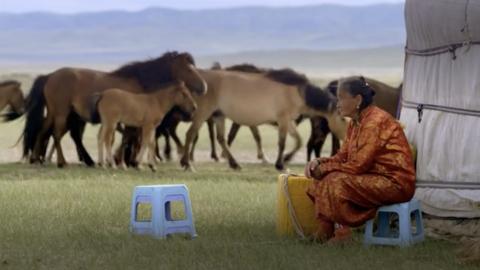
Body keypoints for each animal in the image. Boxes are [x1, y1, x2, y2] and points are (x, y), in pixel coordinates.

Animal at [181, 67, 342, 171]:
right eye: (343, 118)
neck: (299, 91)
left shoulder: (288, 121)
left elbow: (298, 140)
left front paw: (287, 158)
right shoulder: (283, 119)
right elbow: (282, 143)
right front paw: (280, 164)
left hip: (219, 115)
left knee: (221, 139)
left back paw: (234, 164)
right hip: (202, 113)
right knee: (190, 134)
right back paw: (187, 164)